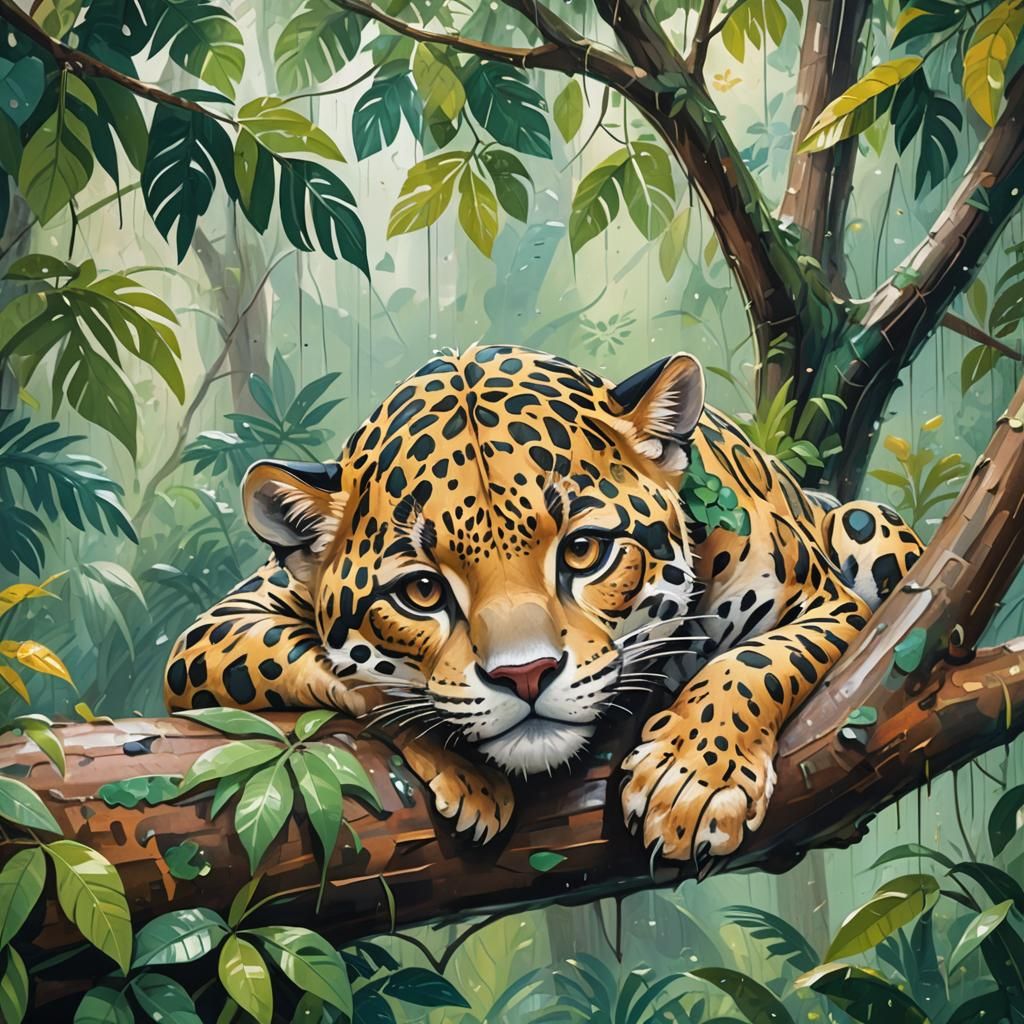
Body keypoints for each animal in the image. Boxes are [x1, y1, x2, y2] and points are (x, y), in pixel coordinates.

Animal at [165, 345, 922, 860]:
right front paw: (462, 768)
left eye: (583, 551)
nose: (524, 676)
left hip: (866, 524)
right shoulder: (210, 631)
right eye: (421, 591)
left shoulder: (829, 602)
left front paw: (692, 780)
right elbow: (348, 677)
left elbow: (753, 664)